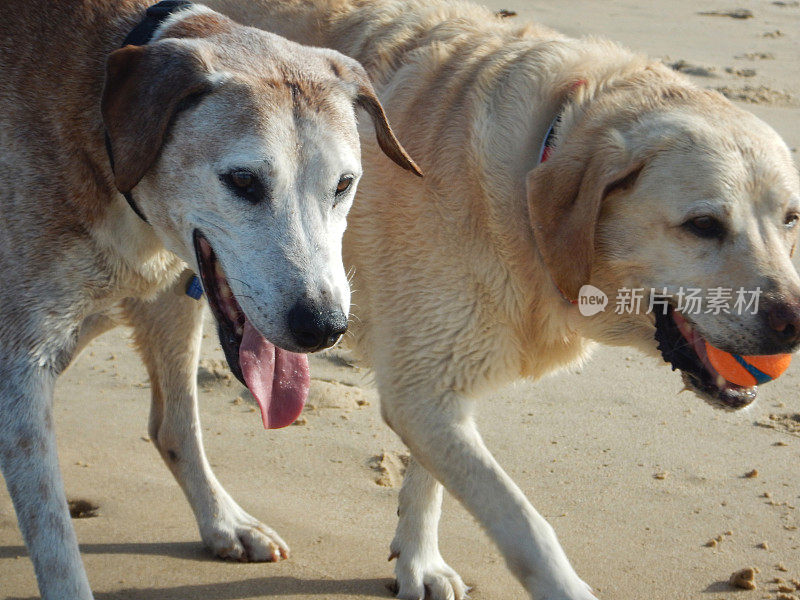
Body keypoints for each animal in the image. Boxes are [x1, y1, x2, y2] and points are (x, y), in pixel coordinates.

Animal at [0, 1, 416, 600]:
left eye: (344, 184)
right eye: (242, 180)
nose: (323, 327)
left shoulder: (173, 301)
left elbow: (176, 427)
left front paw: (223, 523)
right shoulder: (21, 366)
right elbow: (53, 536)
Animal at [208, 1, 800, 600]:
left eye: (792, 219)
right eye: (703, 225)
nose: (795, 324)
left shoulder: (439, 381)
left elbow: (430, 480)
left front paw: (418, 562)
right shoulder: (422, 389)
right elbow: (522, 524)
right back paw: (225, 524)